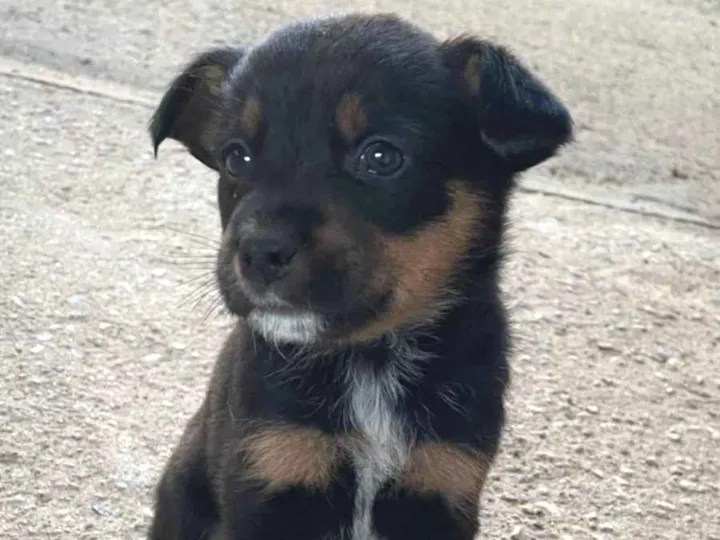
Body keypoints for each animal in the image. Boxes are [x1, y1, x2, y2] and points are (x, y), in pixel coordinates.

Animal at [147, 13, 572, 540]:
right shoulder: (269, 470)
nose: (260, 252)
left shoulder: (443, 481)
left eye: (381, 157)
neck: (371, 360)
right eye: (235, 158)